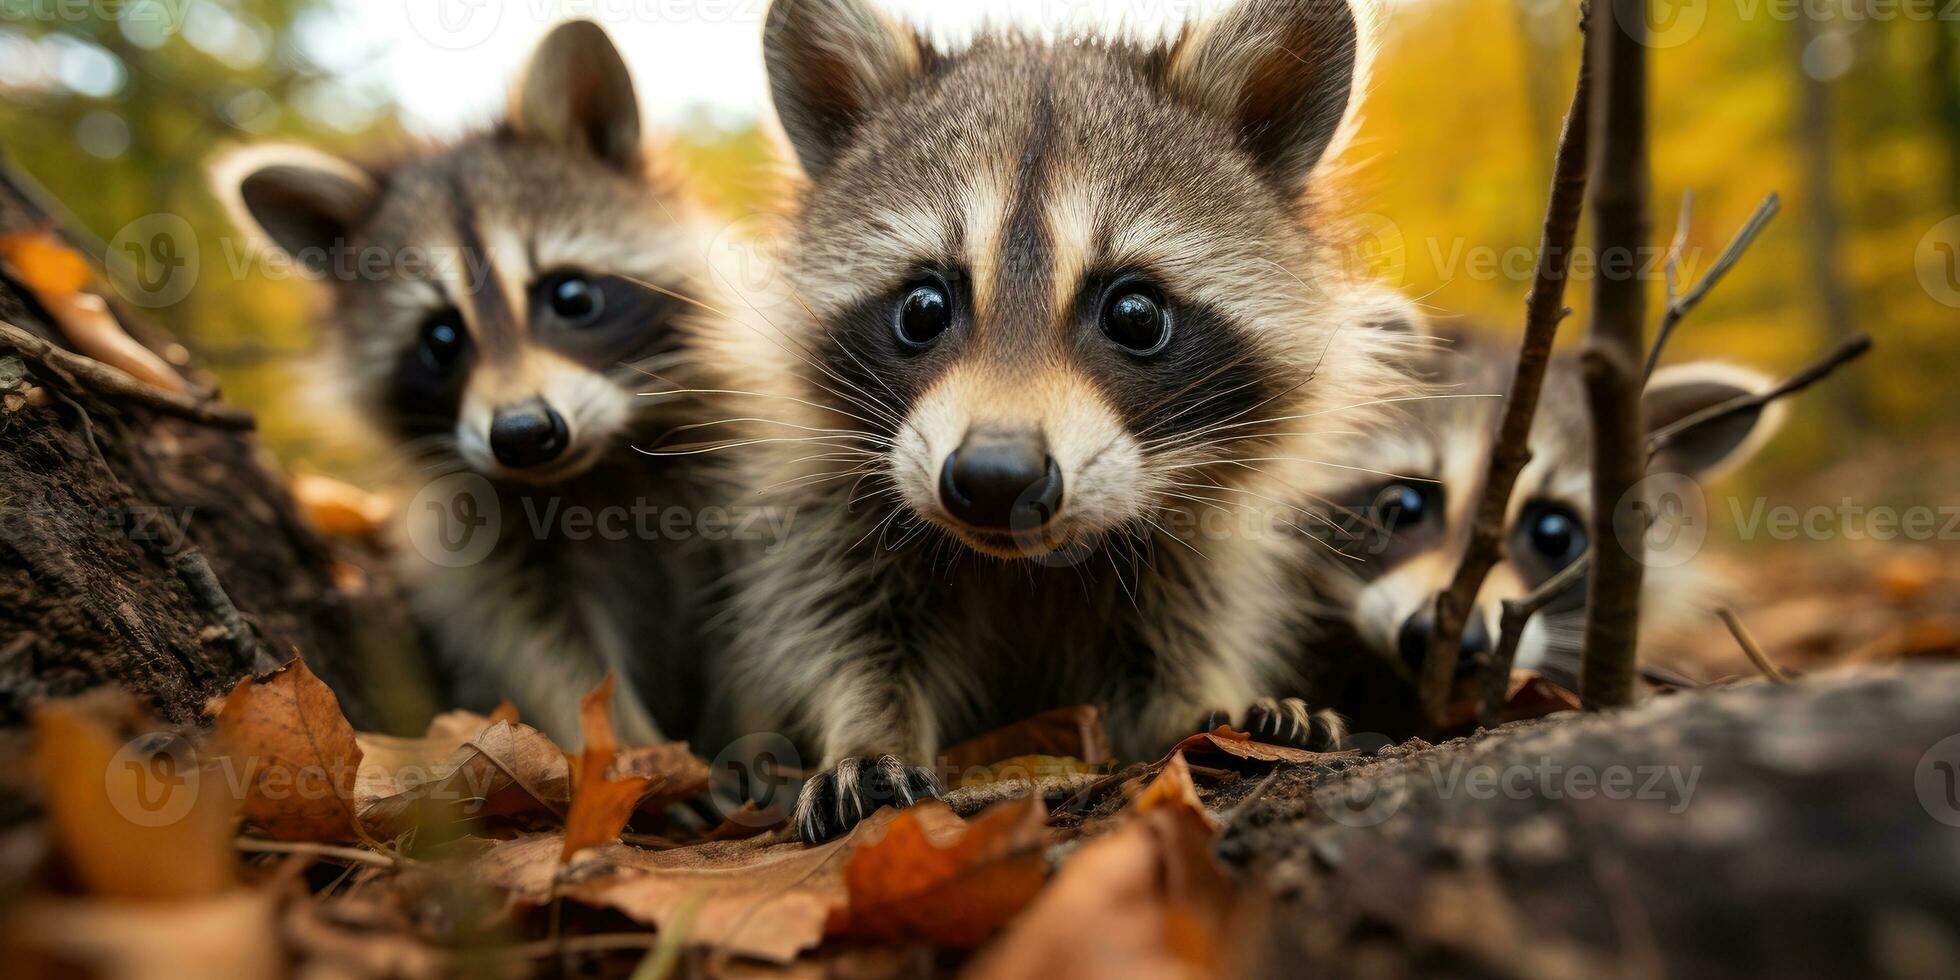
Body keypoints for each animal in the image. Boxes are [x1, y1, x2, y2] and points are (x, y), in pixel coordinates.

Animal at [210, 21, 729, 740]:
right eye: (441, 339)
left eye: (571, 296)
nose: (524, 434)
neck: (592, 475)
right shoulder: (488, 559)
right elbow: (543, 653)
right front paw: (626, 748)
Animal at [705, 0, 1426, 842]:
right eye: (923, 307)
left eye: (1135, 314)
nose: (995, 480)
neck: (1024, 566)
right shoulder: (833, 514)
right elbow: (845, 625)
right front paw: (867, 727)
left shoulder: (1196, 550)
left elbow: (1180, 637)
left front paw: (1204, 703)